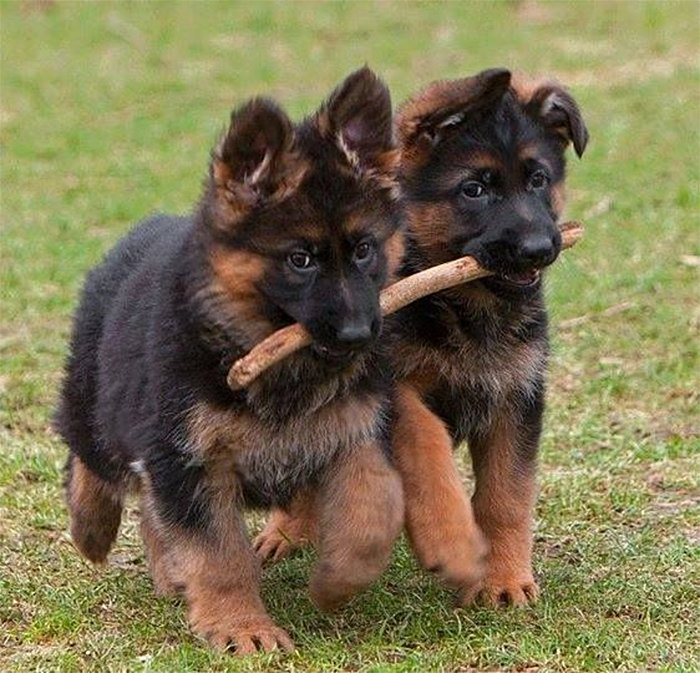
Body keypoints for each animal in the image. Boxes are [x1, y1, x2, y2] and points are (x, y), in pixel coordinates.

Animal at [57, 68, 408, 652]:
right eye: (300, 259)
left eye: (364, 250)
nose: (361, 334)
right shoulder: (190, 458)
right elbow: (219, 553)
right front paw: (240, 625)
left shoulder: (352, 433)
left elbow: (369, 512)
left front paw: (337, 581)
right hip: (102, 398)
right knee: (91, 453)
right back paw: (90, 528)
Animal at [254, 68, 588, 608]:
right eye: (474, 190)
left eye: (538, 179)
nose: (540, 249)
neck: (465, 307)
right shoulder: (393, 387)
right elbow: (426, 443)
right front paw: (449, 540)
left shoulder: (516, 395)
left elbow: (506, 494)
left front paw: (505, 578)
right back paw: (287, 531)